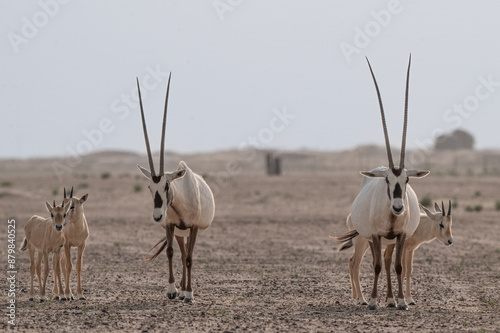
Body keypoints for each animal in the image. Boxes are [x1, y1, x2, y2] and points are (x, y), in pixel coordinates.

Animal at [137, 74, 215, 302]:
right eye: (149, 186)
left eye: (166, 185)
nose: (157, 216)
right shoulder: (171, 225)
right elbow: (171, 253)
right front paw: (173, 290)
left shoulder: (194, 227)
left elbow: (190, 257)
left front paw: (189, 293)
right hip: (181, 232)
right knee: (181, 252)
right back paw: (180, 289)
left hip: (189, 231)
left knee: (188, 254)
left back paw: (186, 291)